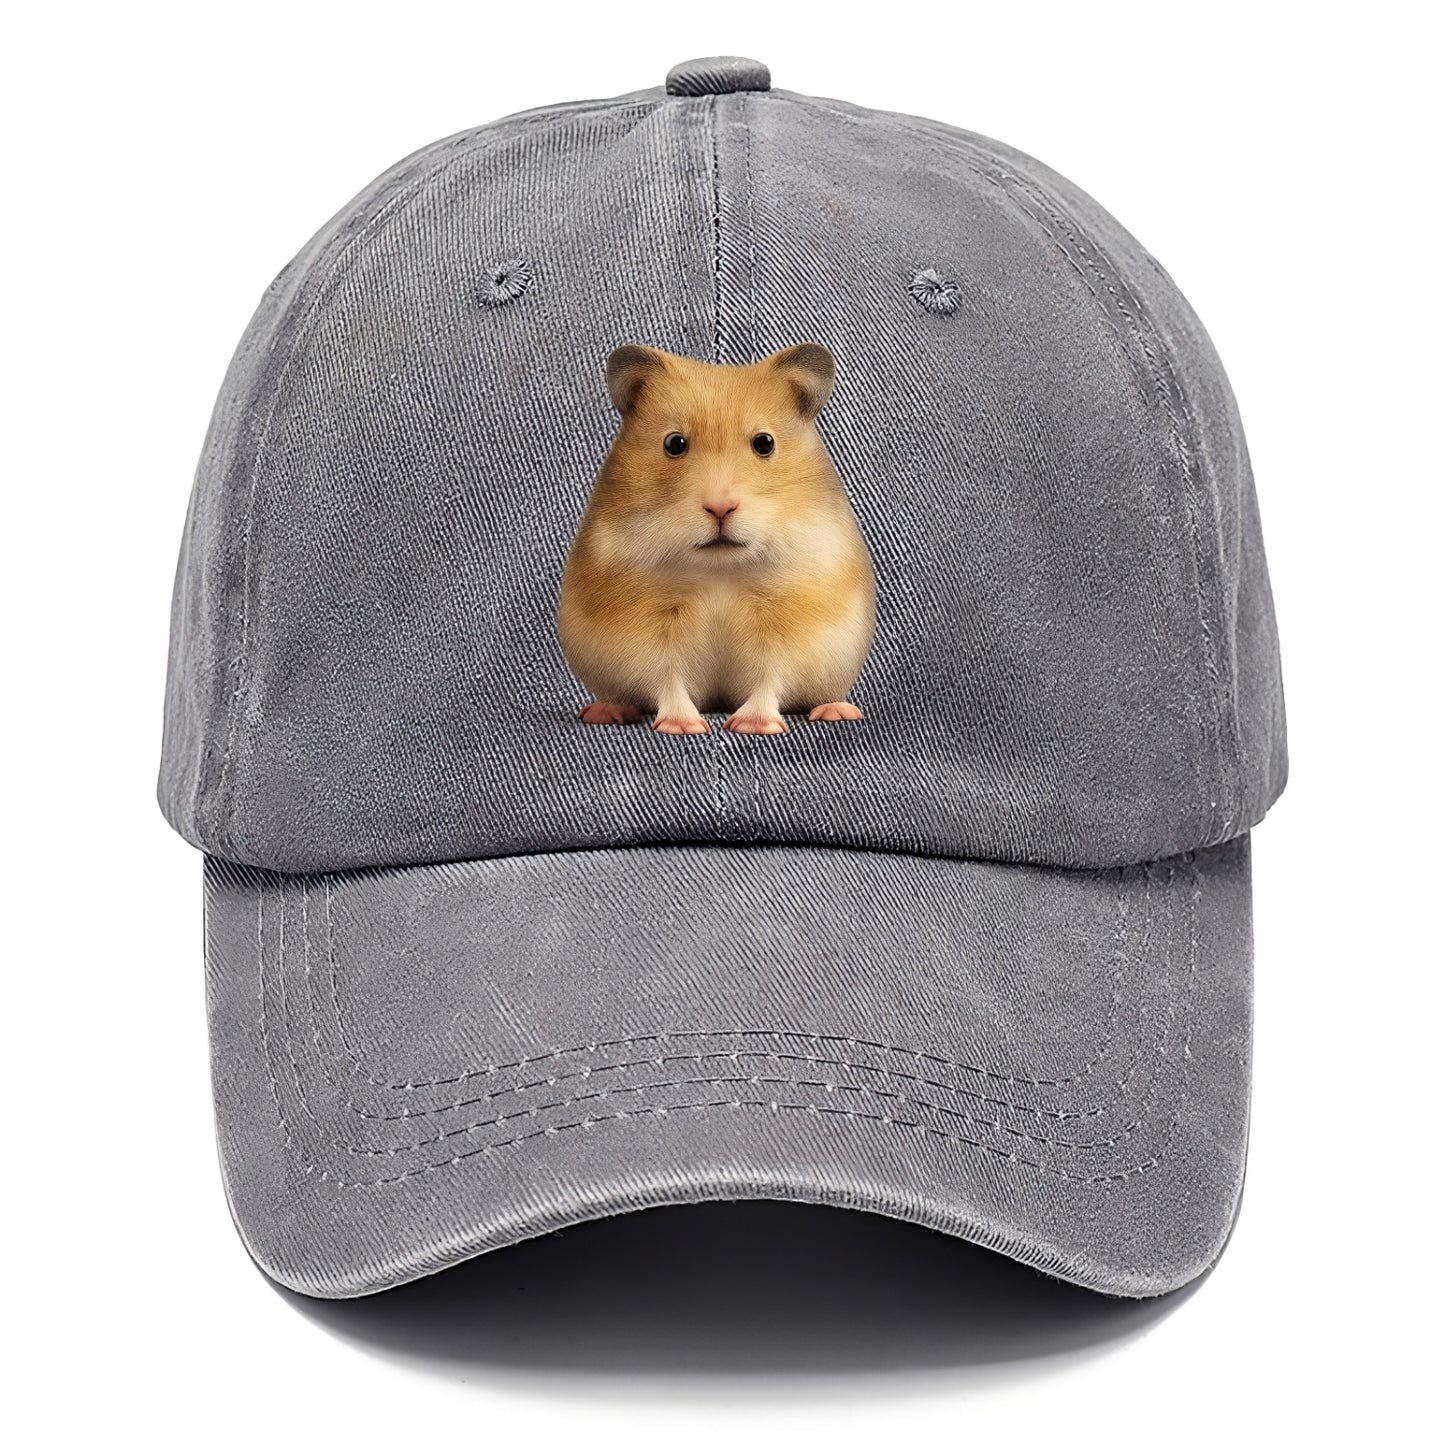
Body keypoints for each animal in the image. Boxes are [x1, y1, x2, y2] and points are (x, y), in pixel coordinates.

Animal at [558, 343, 876, 735]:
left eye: (764, 443)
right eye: (674, 443)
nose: (720, 507)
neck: (719, 570)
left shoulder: (786, 629)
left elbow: (770, 677)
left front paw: (752, 725)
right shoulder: (647, 634)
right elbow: (667, 678)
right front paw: (683, 726)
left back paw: (838, 711)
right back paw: (605, 712)